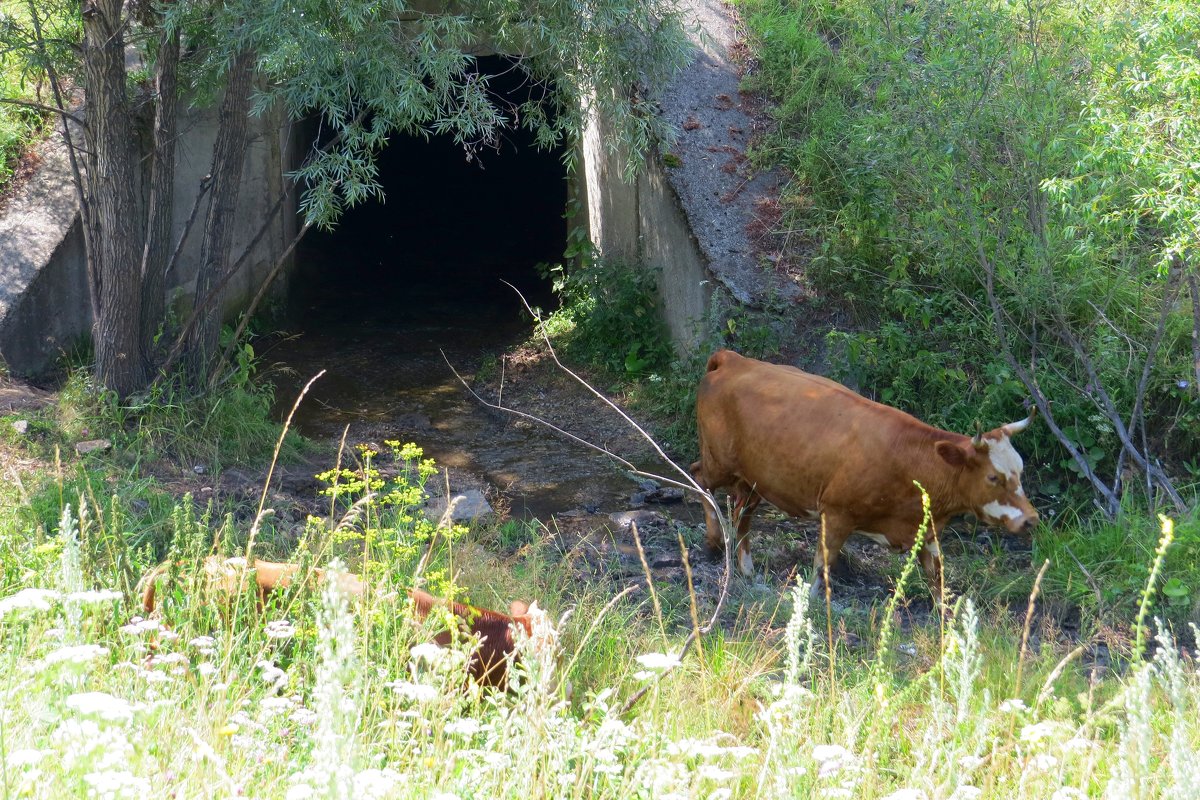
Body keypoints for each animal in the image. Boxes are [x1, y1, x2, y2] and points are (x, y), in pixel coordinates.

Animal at [691, 347, 1036, 594]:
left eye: (1020, 471)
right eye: (993, 477)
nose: (1032, 519)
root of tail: (733, 360)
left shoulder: (925, 531)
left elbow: (938, 581)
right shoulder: (836, 513)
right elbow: (821, 566)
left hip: (753, 480)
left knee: (742, 514)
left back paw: (747, 569)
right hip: (719, 462)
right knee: (698, 477)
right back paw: (713, 541)